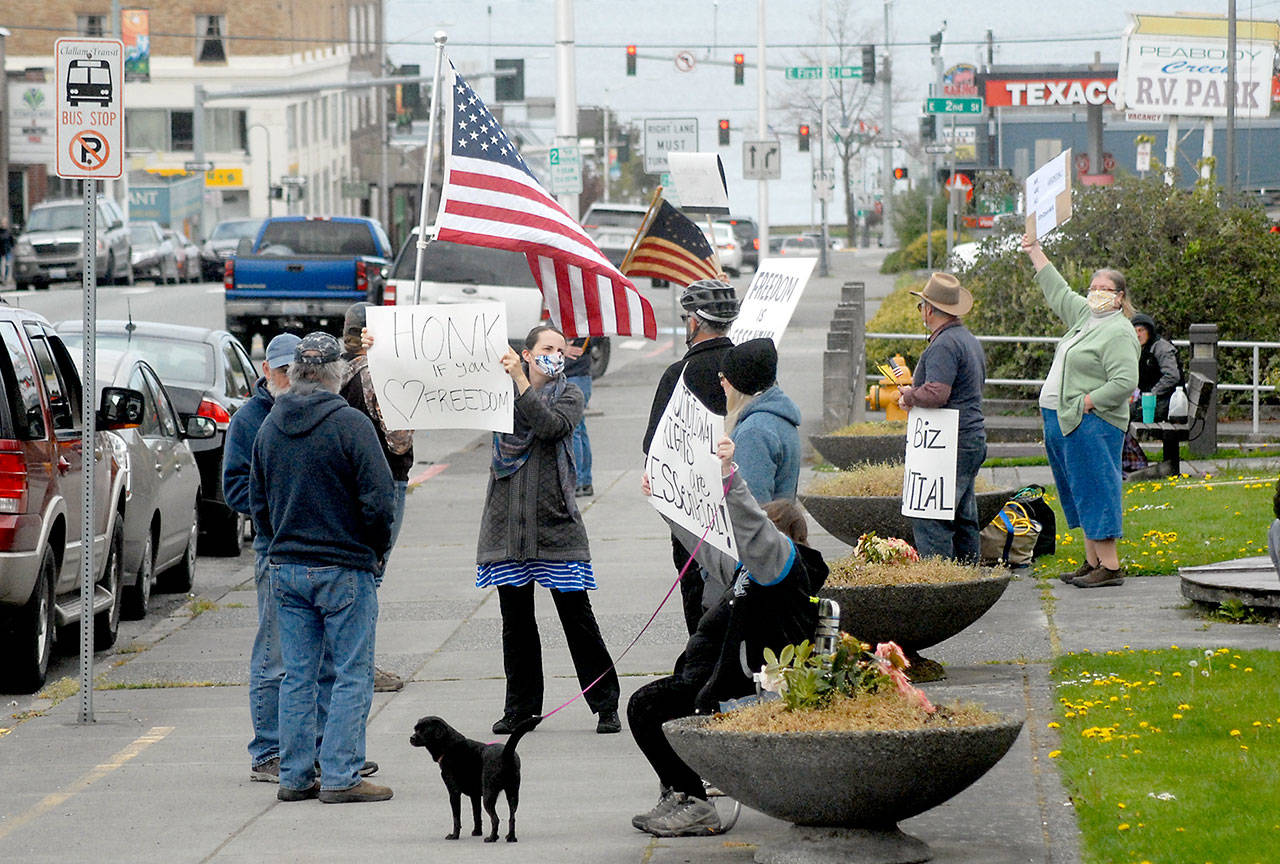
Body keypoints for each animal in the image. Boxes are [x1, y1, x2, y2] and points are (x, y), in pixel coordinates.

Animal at [409, 716, 540, 844]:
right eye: (416, 728)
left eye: (423, 730)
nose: (411, 738)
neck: (449, 747)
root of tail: (506, 753)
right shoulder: (475, 796)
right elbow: (476, 814)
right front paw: (477, 832)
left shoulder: (454, 792)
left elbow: (456, 818)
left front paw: (455, 835)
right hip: (513, 793)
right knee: (512, 817)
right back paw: (511, 837)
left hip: (488, 795)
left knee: (495, 819)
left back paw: (492, 838)